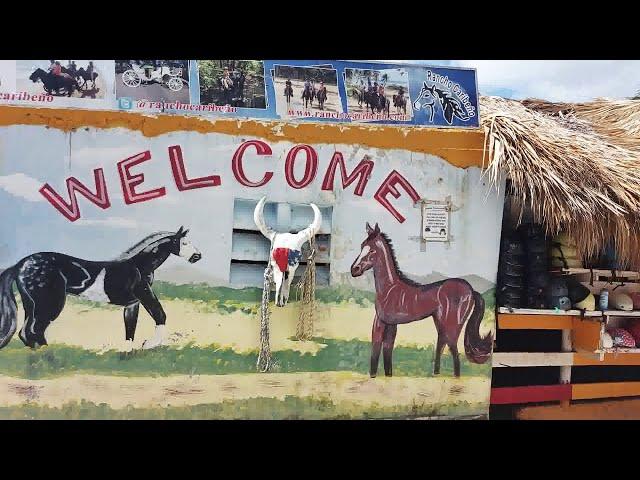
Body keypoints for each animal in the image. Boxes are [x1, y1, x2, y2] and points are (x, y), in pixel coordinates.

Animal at [0, 227, 201, 350]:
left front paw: (129, 351)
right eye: (183, 243)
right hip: (49, 303)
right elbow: (160, 315)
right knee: (34, 330)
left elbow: (130, 328)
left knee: (27, 332)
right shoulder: (144, 294)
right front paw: (150, 344)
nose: (197, 256)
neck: (139, 265)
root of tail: (20, 265)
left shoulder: (132, 303)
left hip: (31, 303)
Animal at [350, 223, 496, 376]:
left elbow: (375, 352)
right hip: (441, 324)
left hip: (452, 327)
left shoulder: (380, 323)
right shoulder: (391, 325)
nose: (354, 269)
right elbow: (387, 353)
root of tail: (472, 291)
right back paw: (436, 374)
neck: (389, 288)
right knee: (441, 347)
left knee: (454, 352)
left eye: (372, 249)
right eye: (362, 246)